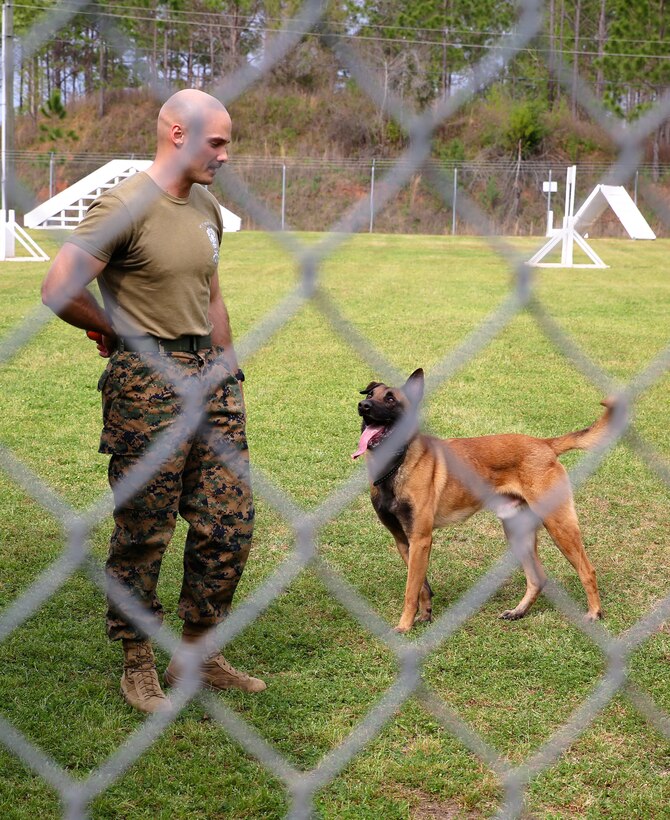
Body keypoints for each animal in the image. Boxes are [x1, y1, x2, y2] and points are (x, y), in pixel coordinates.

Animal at [354, 368, 616, 632]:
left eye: (390, 399)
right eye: (371, 394)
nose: (363, 405)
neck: (396, 465)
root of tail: (545, 444)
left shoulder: (420, 540)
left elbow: (411, 590)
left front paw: (404, 627)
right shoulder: (403, 540)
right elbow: (422, 587)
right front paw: (425, 615)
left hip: (558, 525)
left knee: (587, 569)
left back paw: (594, 612)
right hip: (517, 531)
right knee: (537, 578)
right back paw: (519, 611)